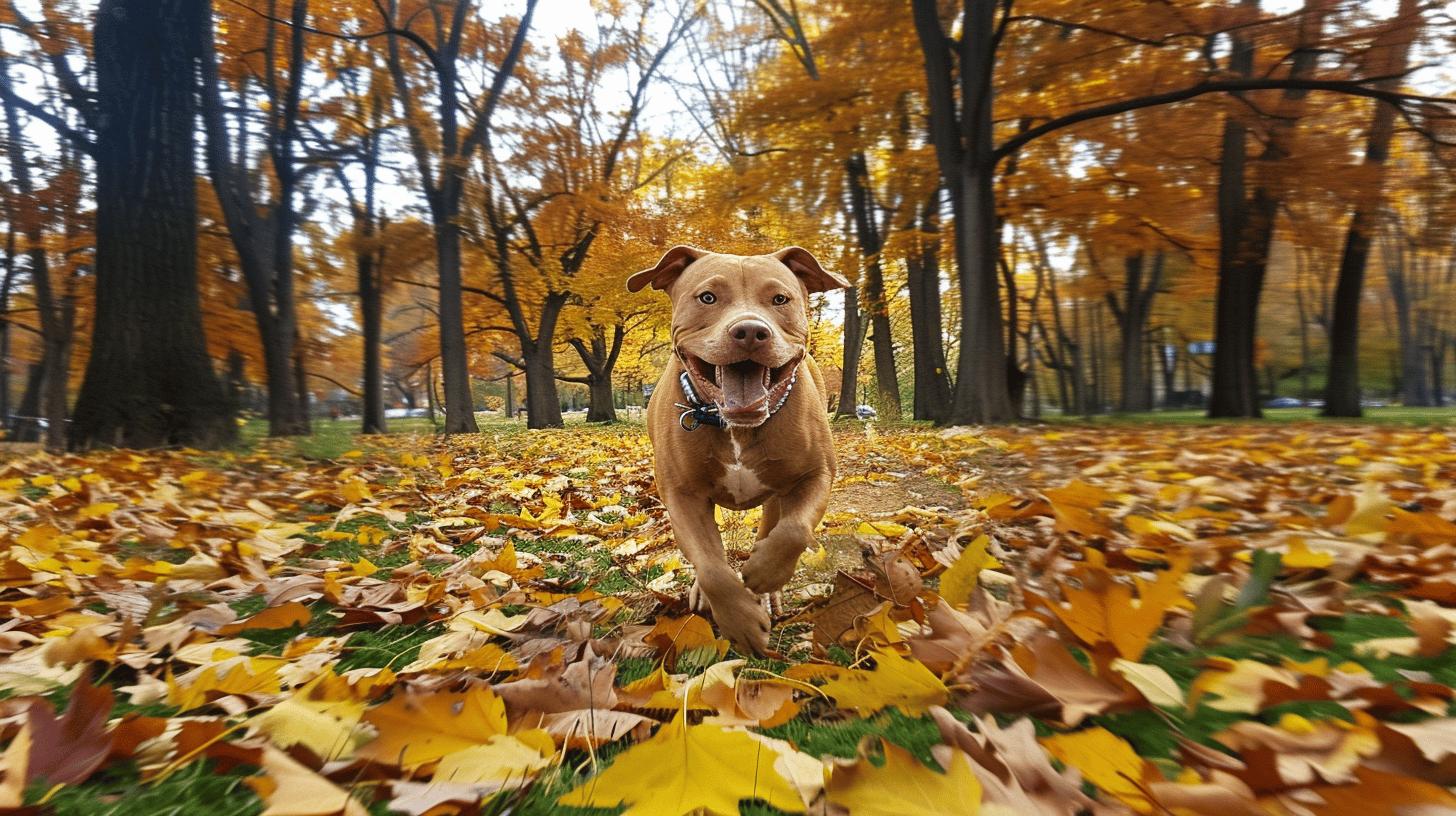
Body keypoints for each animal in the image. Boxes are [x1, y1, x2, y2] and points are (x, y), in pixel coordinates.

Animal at [628, 244, 850, 652]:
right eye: (707, 297)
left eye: (779, 299)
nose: (750, 331)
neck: (735, 427)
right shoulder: (682, 495)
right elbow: (712, 565)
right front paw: (741, 622)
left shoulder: (816, 475)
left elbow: (794, 529)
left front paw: (763, 574)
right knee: (710, 553)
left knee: (773, 525)